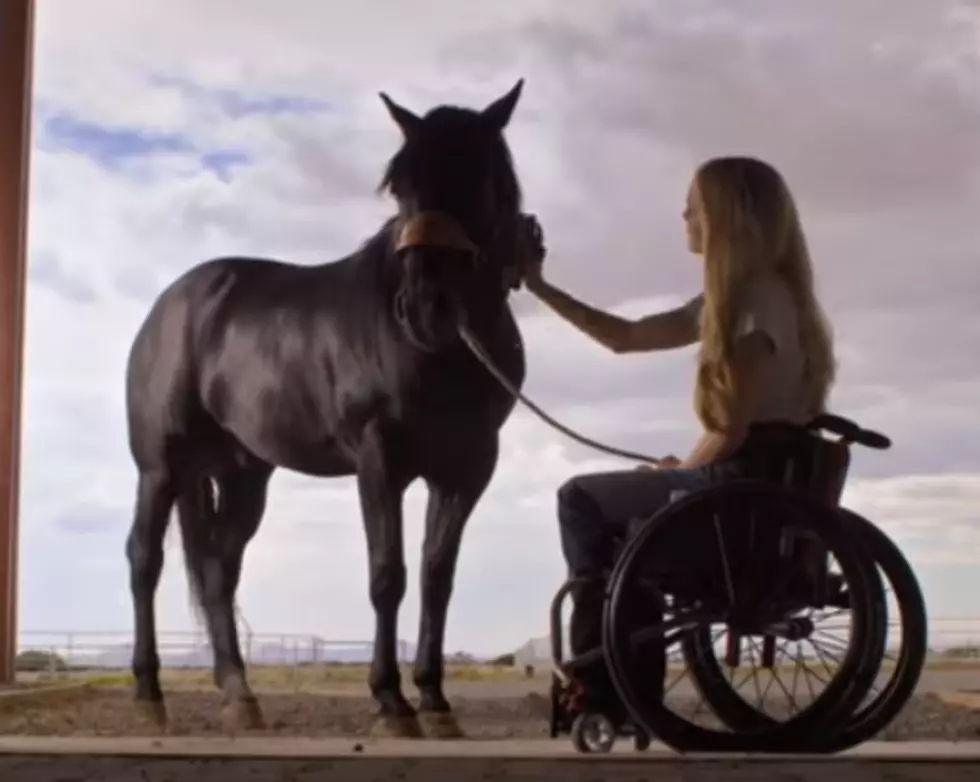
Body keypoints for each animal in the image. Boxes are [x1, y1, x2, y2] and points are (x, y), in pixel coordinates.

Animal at [124, 81, 536, 740]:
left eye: (482, 176)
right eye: (400, 184)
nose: (426, 308)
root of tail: (175, 301)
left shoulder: (468, 468)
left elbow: (437, 578)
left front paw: (435, 701)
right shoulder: (379, 459)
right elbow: (388, 575)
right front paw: (392, 703)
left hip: (242, 475)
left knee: (218, 571)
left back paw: (240, 696)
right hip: (160, 466)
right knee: (145, 559)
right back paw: (149, 696)